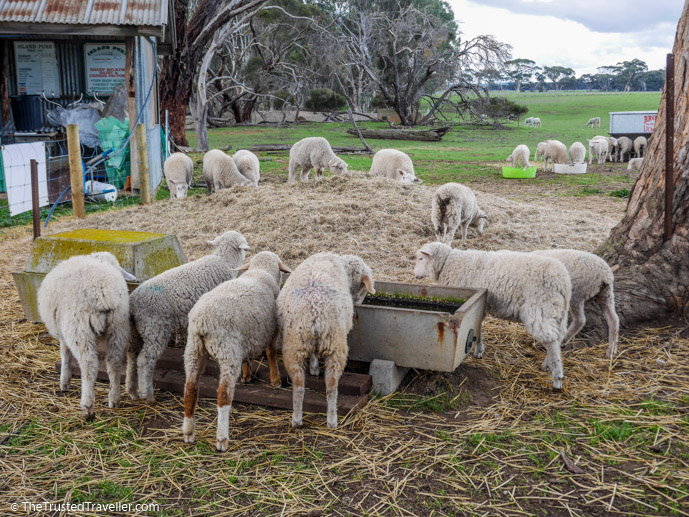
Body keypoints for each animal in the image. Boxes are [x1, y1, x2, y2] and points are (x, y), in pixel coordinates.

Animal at [37, 252, 137, 418]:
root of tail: (103, 292)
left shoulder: (64, 331)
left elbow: (65, 354)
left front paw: (64, 382)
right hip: (119, 325)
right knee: (114, 361)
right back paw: (114, 399)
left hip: (79, 327)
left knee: (89, 364)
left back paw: (88, 406)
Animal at [127, 230, 250, 404]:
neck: (224, 260)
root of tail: (132, 303)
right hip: (154, 328)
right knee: (144, 360)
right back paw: (148, 396)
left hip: (136, 331)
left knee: (131, 357)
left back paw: (132, 392)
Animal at [181, 249, 292, 448]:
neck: (260, 271)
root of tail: (202, 322)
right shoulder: (271, 330)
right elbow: (271, 353)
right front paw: (276, 380)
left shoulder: (246, 337)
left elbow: (247, 357)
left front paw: (247, 376)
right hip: (228, 352)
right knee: (223, 394)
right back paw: (222, 438)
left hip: (194, 350)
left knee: (190, 388)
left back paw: (188, 432)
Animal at [276, 251, 374, 428]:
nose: (358, 302)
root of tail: (314, 313)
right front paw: (315, 369)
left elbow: (314, 355)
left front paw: (314, 369)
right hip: (335, 344)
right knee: (332, 386)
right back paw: (332, 420)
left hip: (295, 344)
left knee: (299, 385)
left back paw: (297, 419)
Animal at [414, 242, 568, 388]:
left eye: (421, 258)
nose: (414, 274)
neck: (448, 264)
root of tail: (562, 282)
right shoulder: (481, 304)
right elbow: (478, 326)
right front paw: (479, 349)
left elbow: (477, 326)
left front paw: (477, 351)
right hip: (557, 313)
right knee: (557, 338)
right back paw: (548, 365)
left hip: (540, 310)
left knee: (552, 342)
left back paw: (557, 378)